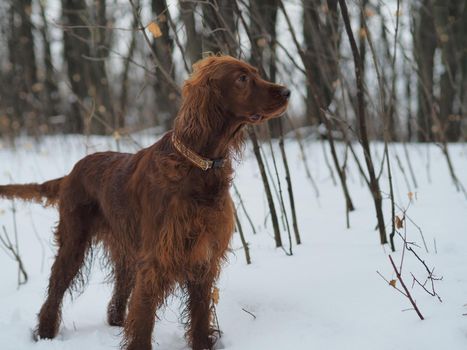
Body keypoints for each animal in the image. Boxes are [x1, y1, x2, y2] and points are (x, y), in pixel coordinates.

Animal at [0, 56, 290, 348]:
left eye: (255, 73)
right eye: (242, 78)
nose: (287, 92)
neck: (198, 166)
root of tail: (72, 172)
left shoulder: (202, 258)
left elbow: (199, 317)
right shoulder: (156, 260)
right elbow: (143, 319)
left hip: (127, 251)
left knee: (118, 290)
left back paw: (115, 321)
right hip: (74, 243)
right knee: (55, 289)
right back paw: (45, 334)